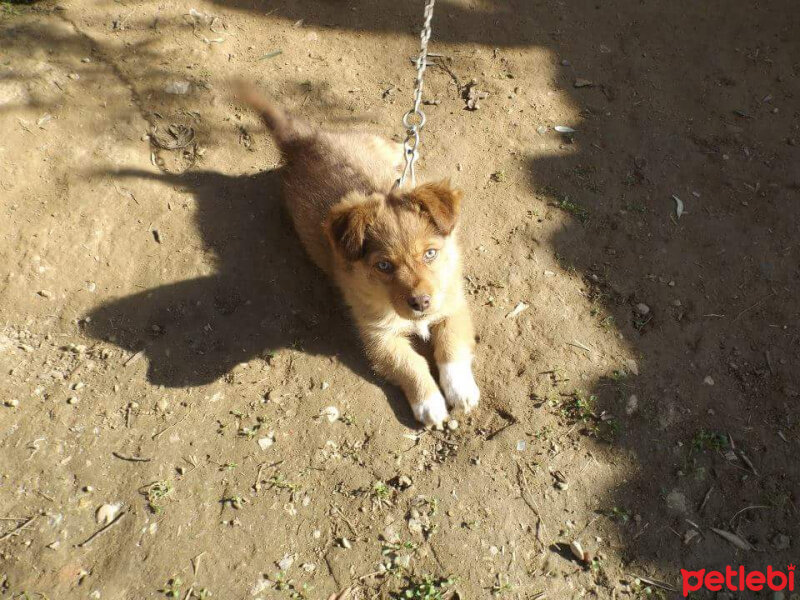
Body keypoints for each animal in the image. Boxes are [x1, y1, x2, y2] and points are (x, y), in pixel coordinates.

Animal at [234, 85, 478, 426]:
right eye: (384, 265)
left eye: (430, 254)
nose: (421, 303)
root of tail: (303, 140)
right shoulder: (377, 336)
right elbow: (410, 365)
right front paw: (429, 402)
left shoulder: (452, 305)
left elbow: (451, 347)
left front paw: (461, 390)